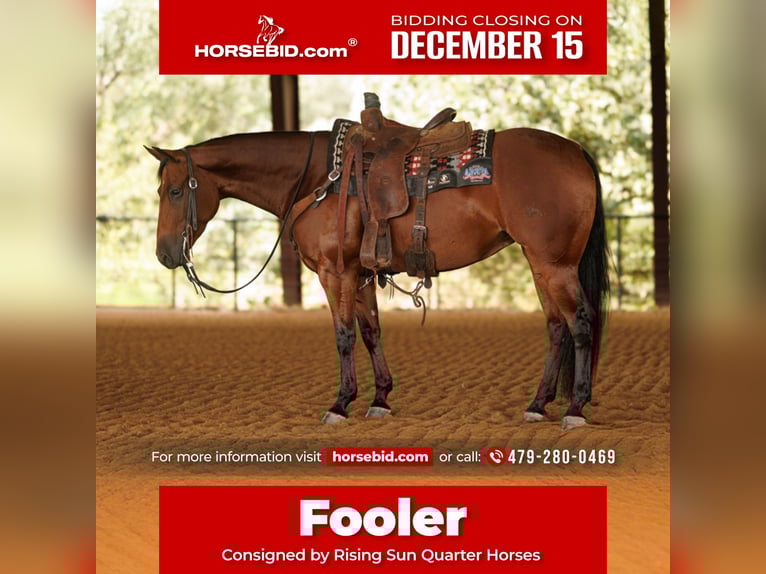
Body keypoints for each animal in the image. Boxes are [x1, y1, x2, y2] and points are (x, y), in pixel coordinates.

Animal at [145, 120, 609, 431]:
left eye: (174, 191)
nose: (165, 254)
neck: (317, 180)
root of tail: (575, 151)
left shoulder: (335, 273)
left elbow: (344, 335)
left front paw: (340, 404)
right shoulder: (361, 273)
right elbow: (370, 332)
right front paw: (380, 398)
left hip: (555, 265)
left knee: (581, 322)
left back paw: (575, 409)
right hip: (540, 263)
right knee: (556, 327)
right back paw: (538, 404)